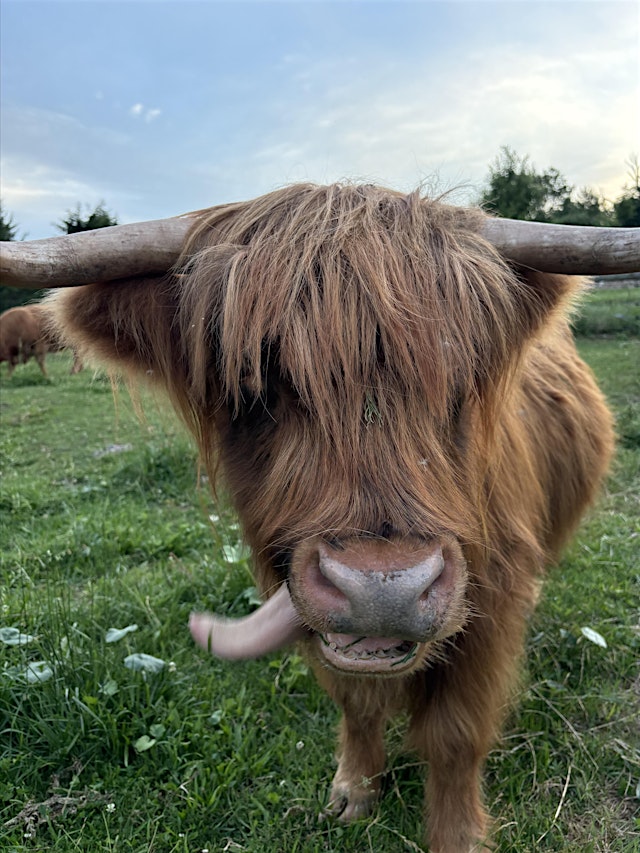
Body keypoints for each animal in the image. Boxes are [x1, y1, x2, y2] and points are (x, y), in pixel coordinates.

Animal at [2, 183, 636, 852]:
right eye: (253, 385)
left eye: (459, 380)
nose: (382, 588)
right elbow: (357, 705)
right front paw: (353, 791)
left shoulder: (492, 605)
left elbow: (455, 734)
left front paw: (457, 834)